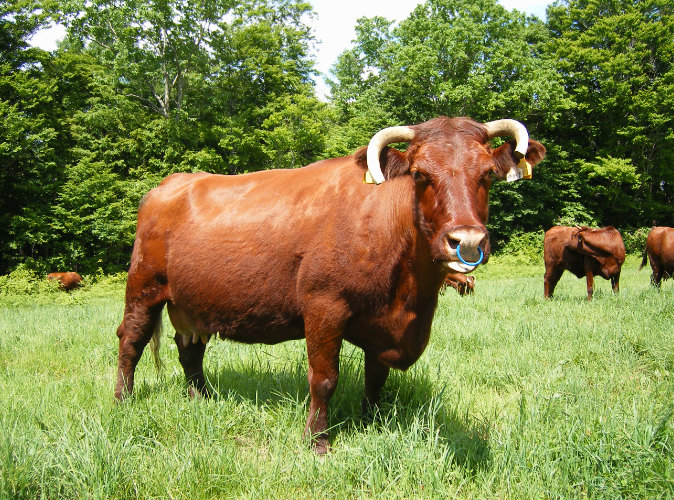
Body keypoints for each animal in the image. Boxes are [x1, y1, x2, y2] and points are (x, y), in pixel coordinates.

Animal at [114, 116, 544, 454]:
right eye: (422, 175)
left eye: (487, 174)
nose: (466, 241)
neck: (410, 301)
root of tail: (171, 183)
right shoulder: (324, 307)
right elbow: (323, 380)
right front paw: (317, 442)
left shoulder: (383, 326)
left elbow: (376, 378)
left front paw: (373, 422)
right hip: (144, 287)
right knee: (131, 340)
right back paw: (123, 401)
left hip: (191, 304)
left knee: (190, 350)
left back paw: (201, 399)